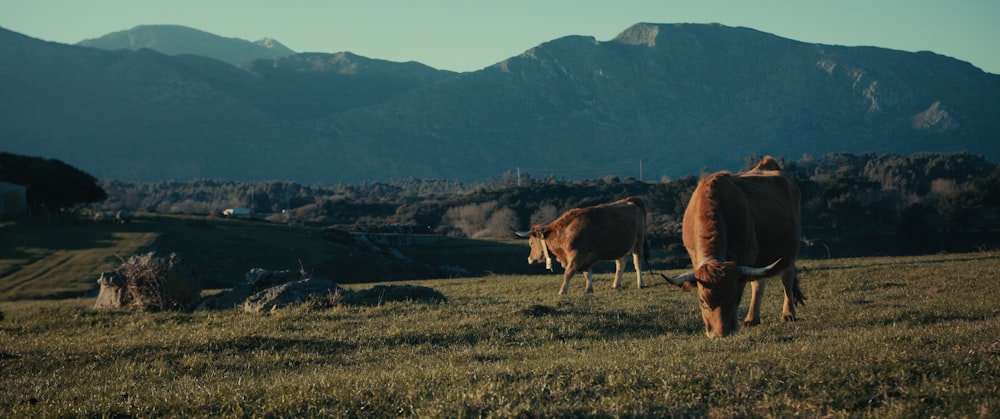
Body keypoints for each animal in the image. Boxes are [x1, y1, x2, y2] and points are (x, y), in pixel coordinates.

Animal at [668, 158, 808, 338]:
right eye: (702, 301)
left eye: (736, 298)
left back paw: (788, 314)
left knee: (786, 280)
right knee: (760, 283)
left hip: (790, 254)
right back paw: (752, 318)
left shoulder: (746, 257)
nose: (720, 334)